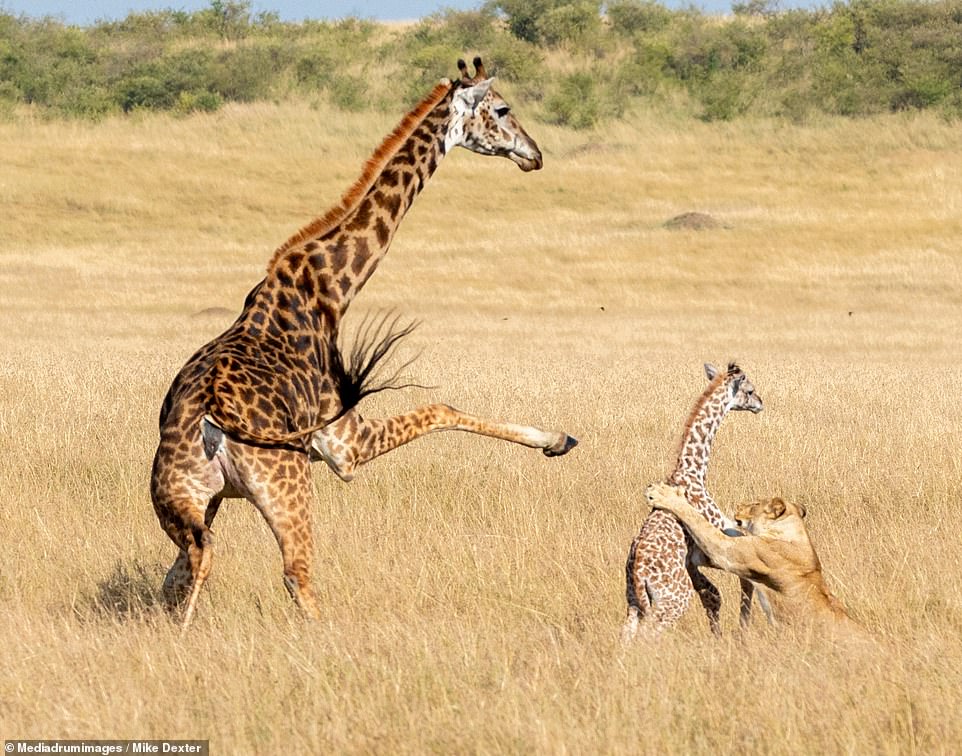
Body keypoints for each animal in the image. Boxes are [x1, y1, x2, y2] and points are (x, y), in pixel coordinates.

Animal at [150, 59, 576, 628]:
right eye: (503, 109)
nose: (534, 154)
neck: (330, 287)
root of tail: (210, 421)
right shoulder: (343, 446)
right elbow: (441, 407)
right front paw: (554, 438)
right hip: (285, 485)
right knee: (295, 573)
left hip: (183, 498)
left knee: (188, 565)